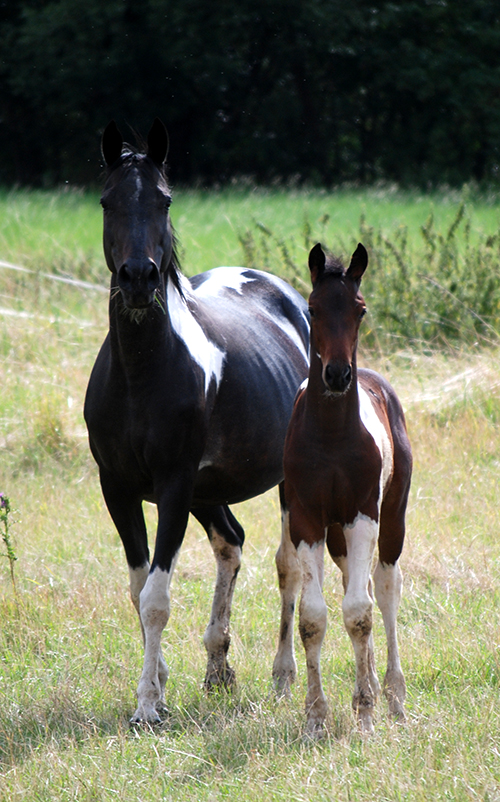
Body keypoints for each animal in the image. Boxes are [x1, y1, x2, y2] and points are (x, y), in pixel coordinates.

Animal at [84, 119, 310, 724]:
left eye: (163, 200)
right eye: (107, 201)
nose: (139, 279)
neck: (142, 373)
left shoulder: (173, 486)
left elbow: (157, 598)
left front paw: (147, 707)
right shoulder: (118, 488)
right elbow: (138, 589)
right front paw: (158, 683)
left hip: (278, 484)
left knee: (289, 567)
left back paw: (283, 678)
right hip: (210, 492)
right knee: (231, 544)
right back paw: (218, 668)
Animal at [271, 242, 412, 737]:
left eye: (360, 309)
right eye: (312, 308)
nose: (335, 375)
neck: (332, 436)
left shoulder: (362, 514)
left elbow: (360, 613)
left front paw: (366, 711)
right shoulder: (307, 520)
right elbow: (314, 617)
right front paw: (316, 716)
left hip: (390, 520)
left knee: (384, 589)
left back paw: (393, 696)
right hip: (334, 535)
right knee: (359, 582)